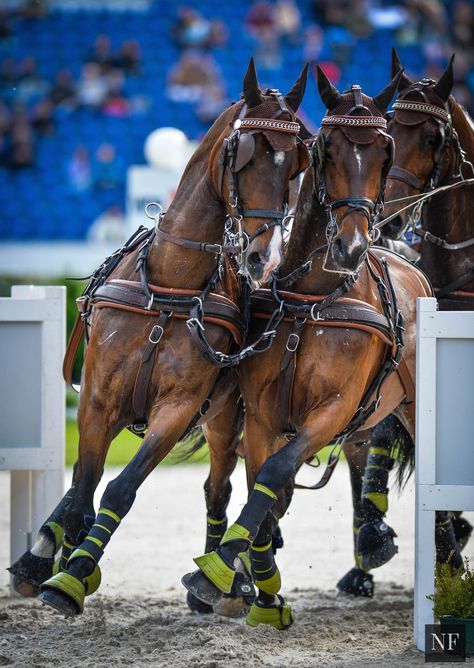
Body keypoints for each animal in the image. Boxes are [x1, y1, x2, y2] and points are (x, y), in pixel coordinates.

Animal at [8, 60, 312, 612]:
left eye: (296, 165)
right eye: (245, 155)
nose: (261, 256)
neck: (171, 285)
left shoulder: (178, 406)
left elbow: (120, 489)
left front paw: (75, 573)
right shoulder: (98, 398)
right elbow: (83, 486)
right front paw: (63, 557)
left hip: (229, 414)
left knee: (222, 487)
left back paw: (224, 580)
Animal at [182, 65, 434, 628]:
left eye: (383, 152)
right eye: (325, 149)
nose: (352, 246)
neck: (314, 300)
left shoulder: (333, 410)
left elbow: (276, 475)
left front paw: (226, 571)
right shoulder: (262, 414)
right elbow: (263, 488)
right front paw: (252, 580)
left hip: (407, 407)